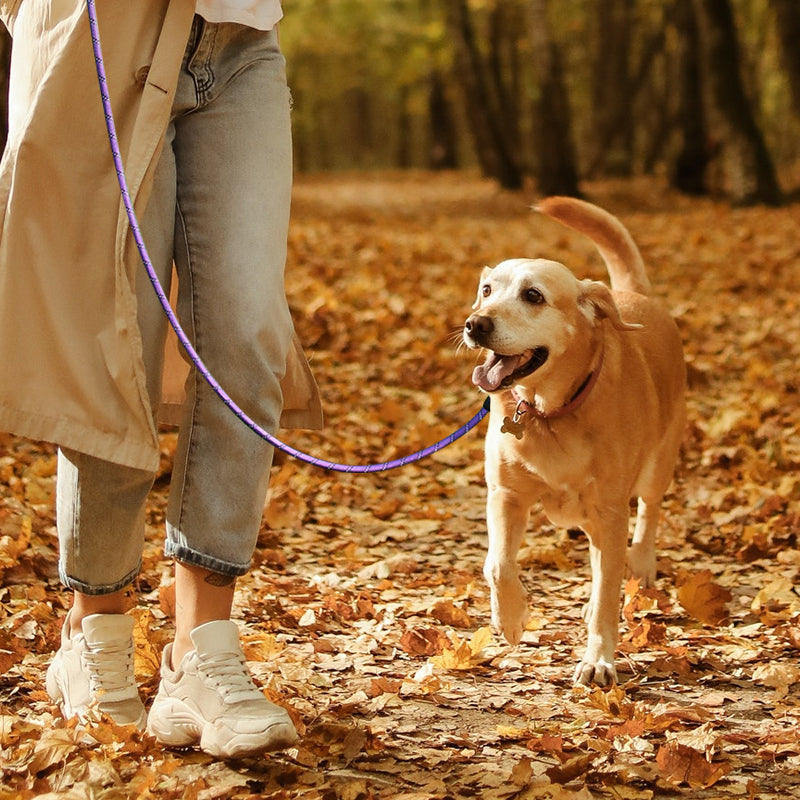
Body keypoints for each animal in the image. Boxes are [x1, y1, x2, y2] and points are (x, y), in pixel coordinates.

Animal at [462, 197, 688, 684]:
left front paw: (599, 658)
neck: (549, 412)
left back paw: (641, 563)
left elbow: (607, 593)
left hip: (655, 466)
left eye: (533, 295)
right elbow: (498, 564)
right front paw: (510, 617)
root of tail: (632, 293)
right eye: (487, 290)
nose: (475, 325)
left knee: (647, 514)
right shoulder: (505, 496)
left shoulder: (610, 510)